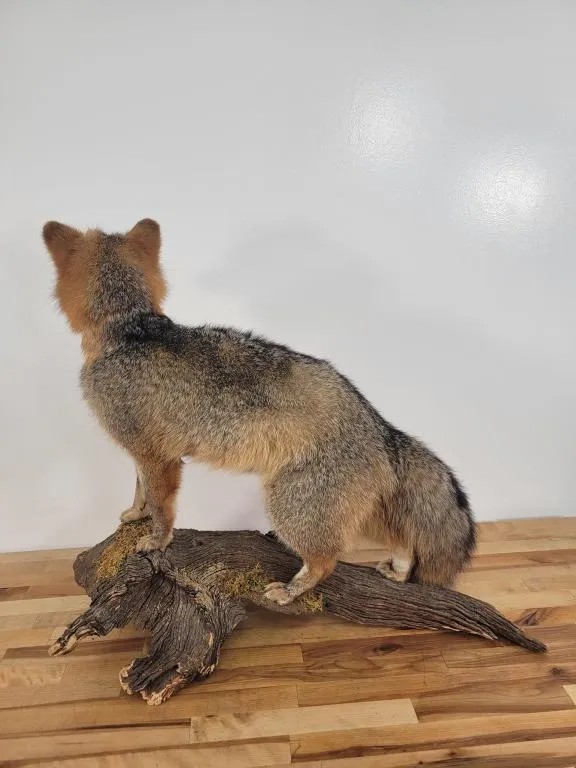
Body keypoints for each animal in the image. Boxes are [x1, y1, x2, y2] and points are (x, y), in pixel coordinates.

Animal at [43, 218, 476, 605]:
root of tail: (378, 423)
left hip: (289, 507)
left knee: (327, 562)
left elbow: (162, 507)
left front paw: (157, 540)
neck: (129, 328)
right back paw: (399, 571)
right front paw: (135, 515)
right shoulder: (141, 450)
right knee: (402, 541)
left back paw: (291, 591)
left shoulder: (157, 456)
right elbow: (140, 490)